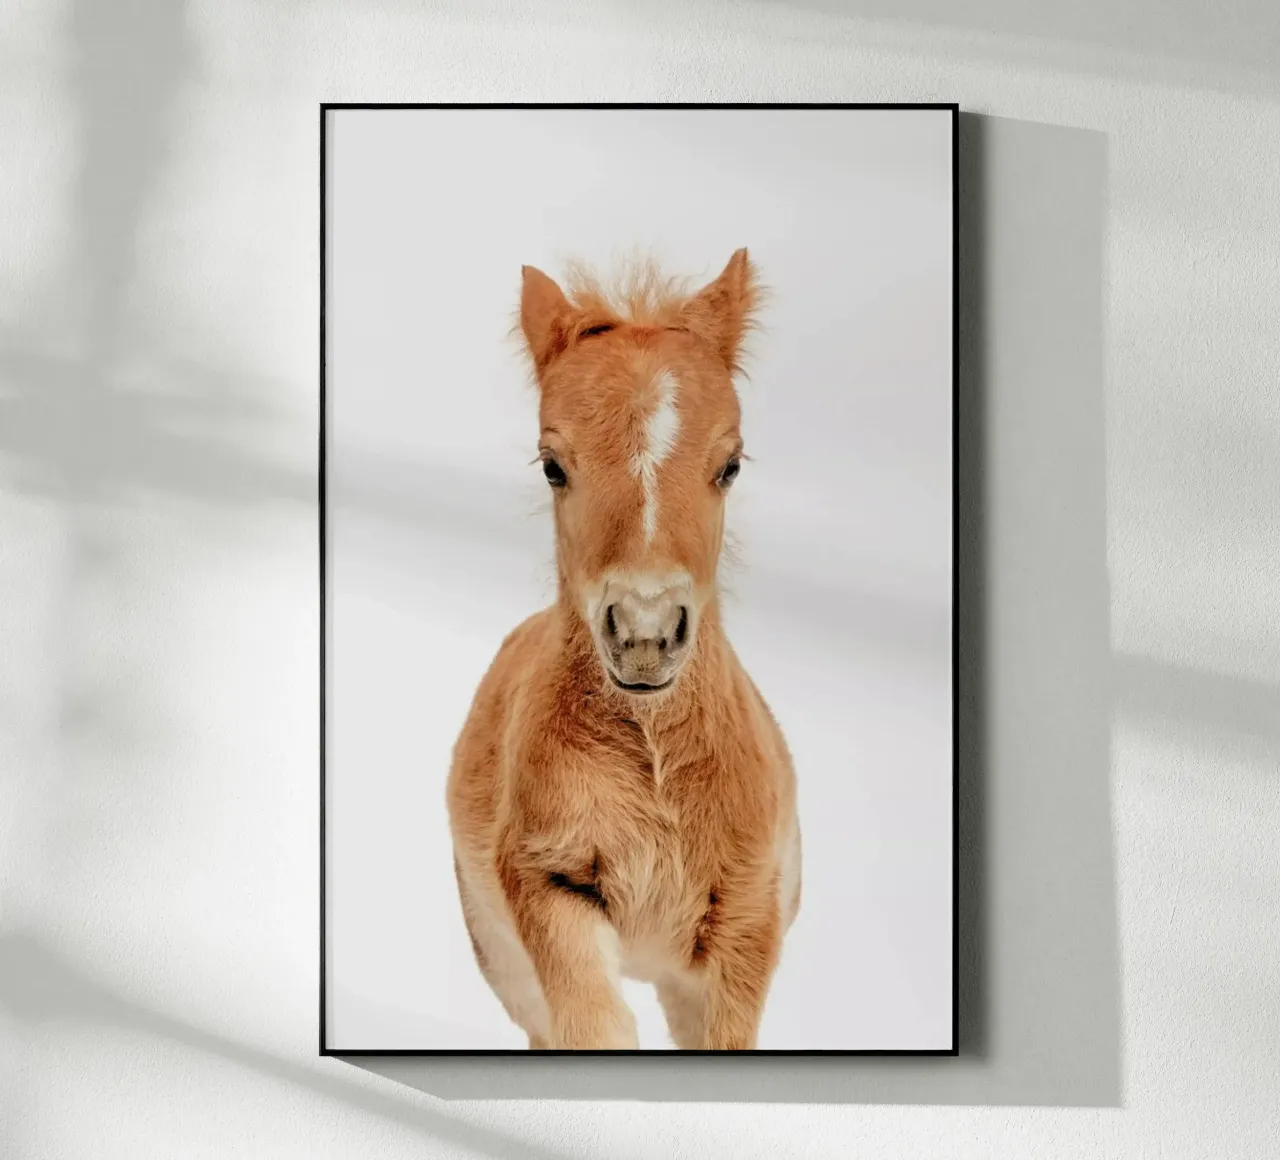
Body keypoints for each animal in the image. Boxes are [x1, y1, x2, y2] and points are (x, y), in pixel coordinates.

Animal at [446, 249, 801, 1050]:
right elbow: (594, 1029)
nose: (643, 634)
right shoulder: (547, 884)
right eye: (553, 465)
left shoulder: (746, 923)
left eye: (731, 464)